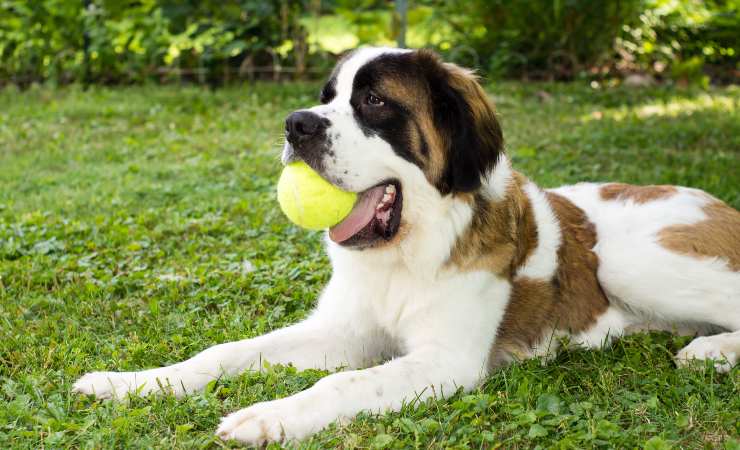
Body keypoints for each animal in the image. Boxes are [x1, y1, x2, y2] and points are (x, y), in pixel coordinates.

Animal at [73, 47, 740, 444]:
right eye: (326, 96)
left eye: (373, 101)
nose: (296, 124)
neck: (405, 251)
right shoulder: (342, 332)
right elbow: (225, 353)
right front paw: (128, 383)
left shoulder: (445, 361)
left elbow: (343, 385)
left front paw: (266, 417)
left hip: (629, 261)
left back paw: (709, 351)